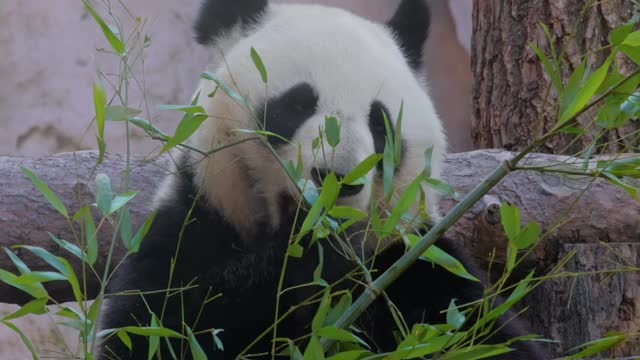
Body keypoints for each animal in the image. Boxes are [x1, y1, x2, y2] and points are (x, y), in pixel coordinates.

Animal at [99, 0, 544, 360]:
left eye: (380, 123)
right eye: (297, 104)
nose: (336, 179)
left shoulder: (416, 267)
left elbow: (485, 338)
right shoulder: (192, 229)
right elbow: (167, 328)